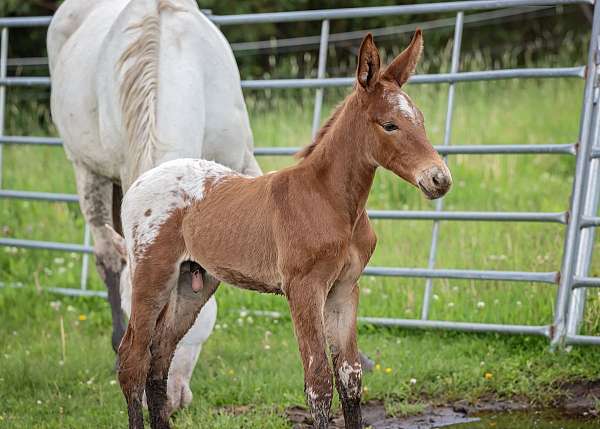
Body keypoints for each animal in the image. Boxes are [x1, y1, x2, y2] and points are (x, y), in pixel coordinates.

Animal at [118, 30, 450, 428]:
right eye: (389, 125)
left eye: (421, 121)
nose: (439, 179)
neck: (330, 200)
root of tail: (139, 183)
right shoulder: (303, 289)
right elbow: (318, 382)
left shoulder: (344, 291)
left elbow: (351, 377)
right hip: (152, 276)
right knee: (132, 360)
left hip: (192, 284)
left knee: (159, 358)